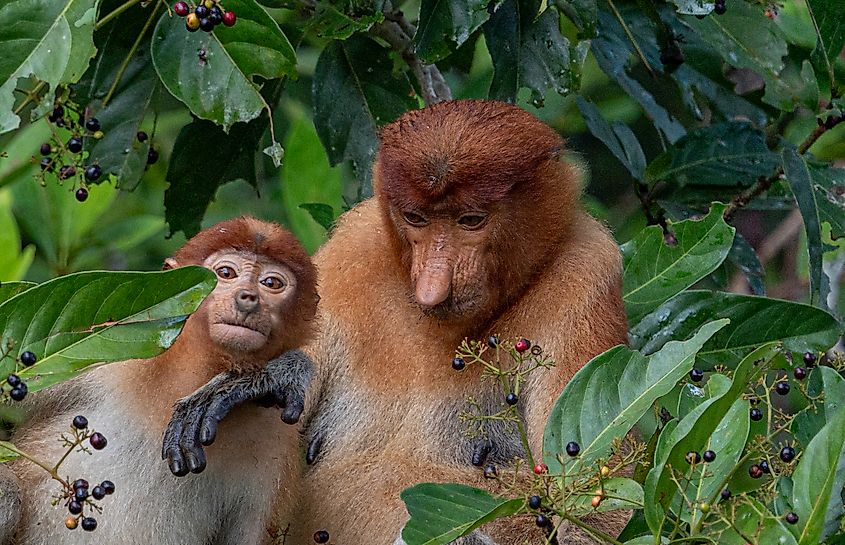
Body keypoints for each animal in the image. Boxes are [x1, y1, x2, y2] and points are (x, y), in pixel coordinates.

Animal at [1, 216, 317, 545]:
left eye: (272, 283)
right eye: (226, 273)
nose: (248, 298)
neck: (190, 376)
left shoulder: (276, 445)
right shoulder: (115, 352)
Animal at [162, 100, 629, 544]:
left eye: (471, 220)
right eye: (415, 218)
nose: (432, 288)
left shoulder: (588, 270)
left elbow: (595, 499)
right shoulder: (355, 243)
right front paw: (257, 382)